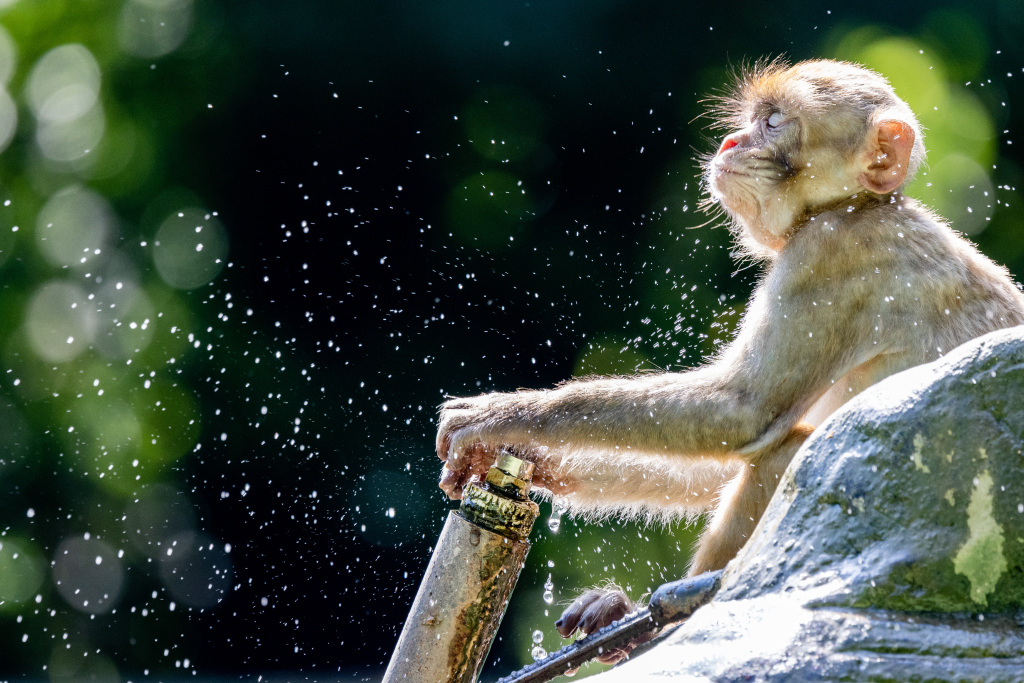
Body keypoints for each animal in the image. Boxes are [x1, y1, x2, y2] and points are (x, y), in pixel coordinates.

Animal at [434, 60, 1024, 647]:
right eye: (752, 120)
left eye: (775, 121)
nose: (732, 141)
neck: (858, 204)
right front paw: (533, 459)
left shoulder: (828, 252)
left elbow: (743, 412)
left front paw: (505, 416)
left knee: (788, 451)